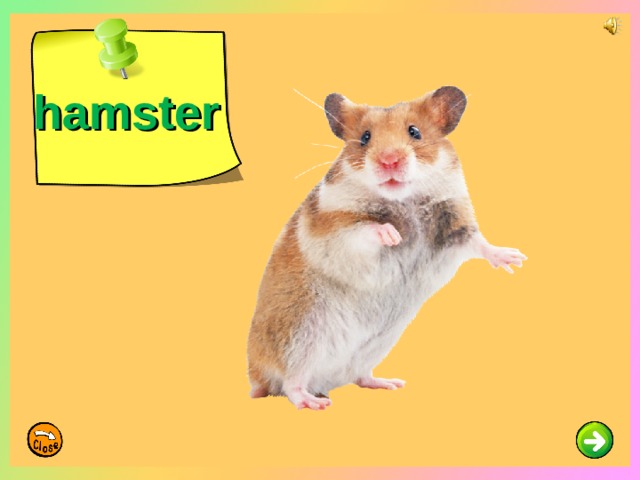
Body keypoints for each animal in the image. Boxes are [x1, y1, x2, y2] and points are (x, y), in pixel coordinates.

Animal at [247, 86, 526, 410]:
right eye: (365, 137)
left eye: (415, 132)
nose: (389, 161)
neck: (404, 199)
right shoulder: (334, 229)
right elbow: (364, 229)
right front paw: (393, 235)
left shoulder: (455, 223)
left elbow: (478, 243)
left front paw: (514, 259)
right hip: (300, 336)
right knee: (290, 383)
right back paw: (313, 402)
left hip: (371, 348)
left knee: (359, 376)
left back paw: (388, 383)